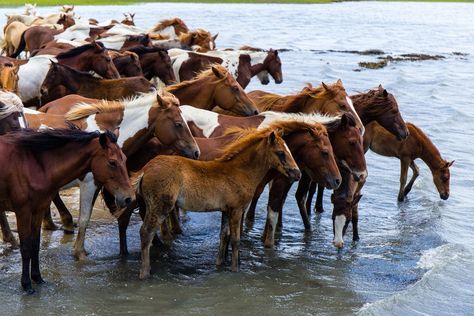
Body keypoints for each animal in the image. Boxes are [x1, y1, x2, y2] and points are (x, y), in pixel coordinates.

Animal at [0, 128, 134, 294]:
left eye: (125, 159)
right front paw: (27, 285)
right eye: (112, 162)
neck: (34, 164)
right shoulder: (23, 212)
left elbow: (35, 245)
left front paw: (37, 278)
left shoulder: (38, 210)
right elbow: (25, 248)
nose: (128, 198)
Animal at [137, 127, 300, 278]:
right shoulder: (237, 210)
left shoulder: (226, 211)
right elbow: (235, 240)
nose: (297, 174)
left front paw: (219, 264)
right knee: (146, 233)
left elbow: (223, 236)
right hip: (160, 207)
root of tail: (145, 169)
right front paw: (235, 269)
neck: (240, 171)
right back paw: (144, 273)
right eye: (281, 153)